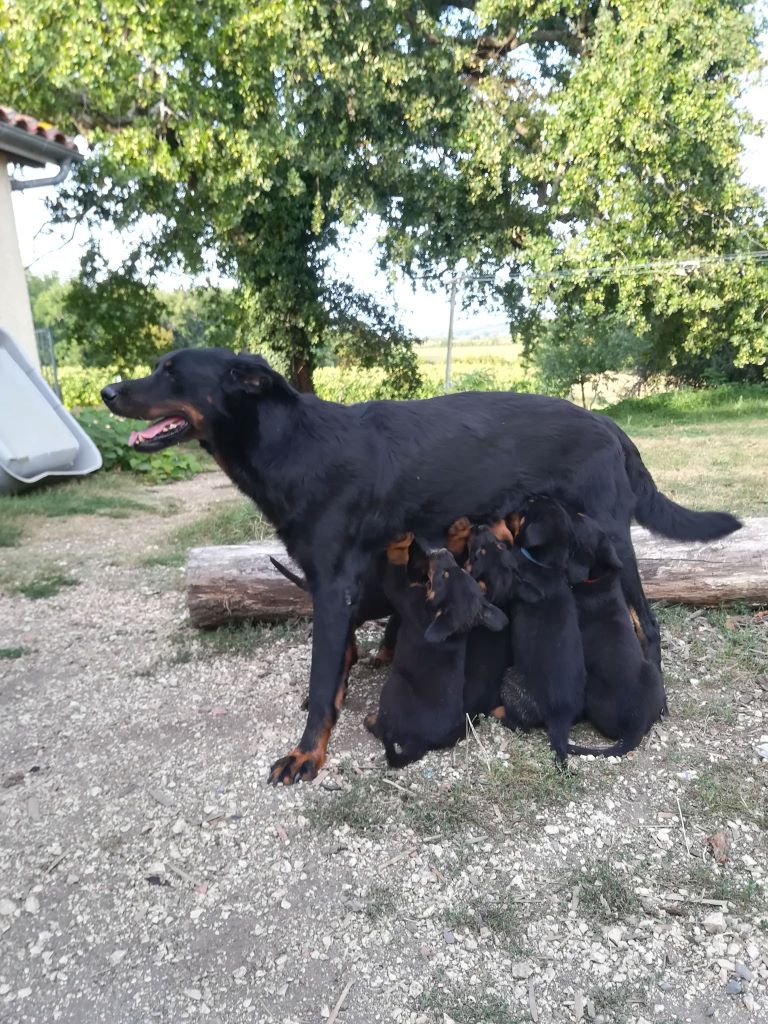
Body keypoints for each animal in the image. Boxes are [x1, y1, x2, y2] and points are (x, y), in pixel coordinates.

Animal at [368, 540, 512, 765]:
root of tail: (419, 742)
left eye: (445, 575)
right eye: (459, 569)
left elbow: (394, 573)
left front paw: (400, 542)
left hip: (394, 686)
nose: (443, 550)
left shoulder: (406, 597)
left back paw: (370, 720)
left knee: (383, 730)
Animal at [466, 499, 585, 765]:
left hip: (510, 678)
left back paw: (498, 712)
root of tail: (559, 718)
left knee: (520, 724)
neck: (545, 563)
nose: (479, 526)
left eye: (532, 504)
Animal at [569, 516, 671, 757]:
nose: (576, 514)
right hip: (652, 674)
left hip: (591, 693)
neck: (599, 578)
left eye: (578, 529)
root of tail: (635, 725)